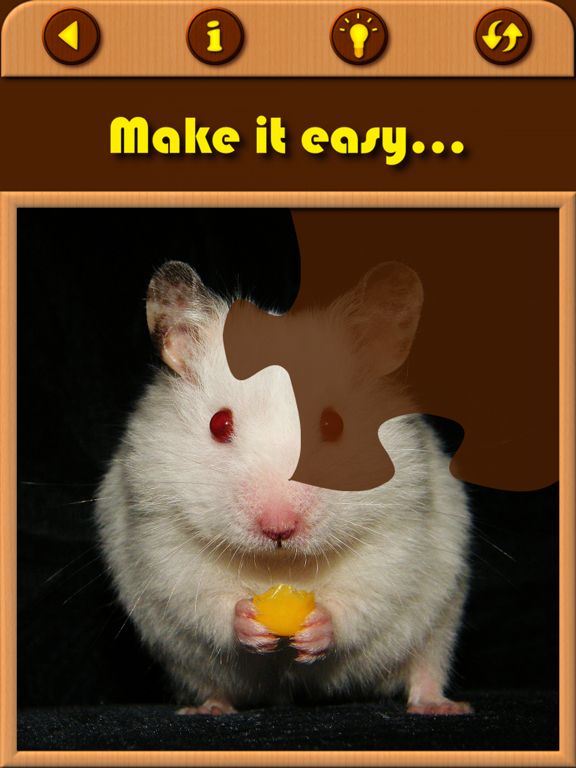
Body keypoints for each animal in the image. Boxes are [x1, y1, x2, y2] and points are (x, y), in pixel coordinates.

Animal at [96, 260, 472, 716]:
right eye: (219, 423)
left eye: (334, 424)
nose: (279, 529)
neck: (279, 565)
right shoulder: (156, 518)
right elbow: (198, 591)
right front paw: (247, 621)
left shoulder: (403, 519)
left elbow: (369, 589)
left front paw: (318, 626)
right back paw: (209, 708)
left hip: (442, 617)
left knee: (425, 664)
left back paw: (440, 705)